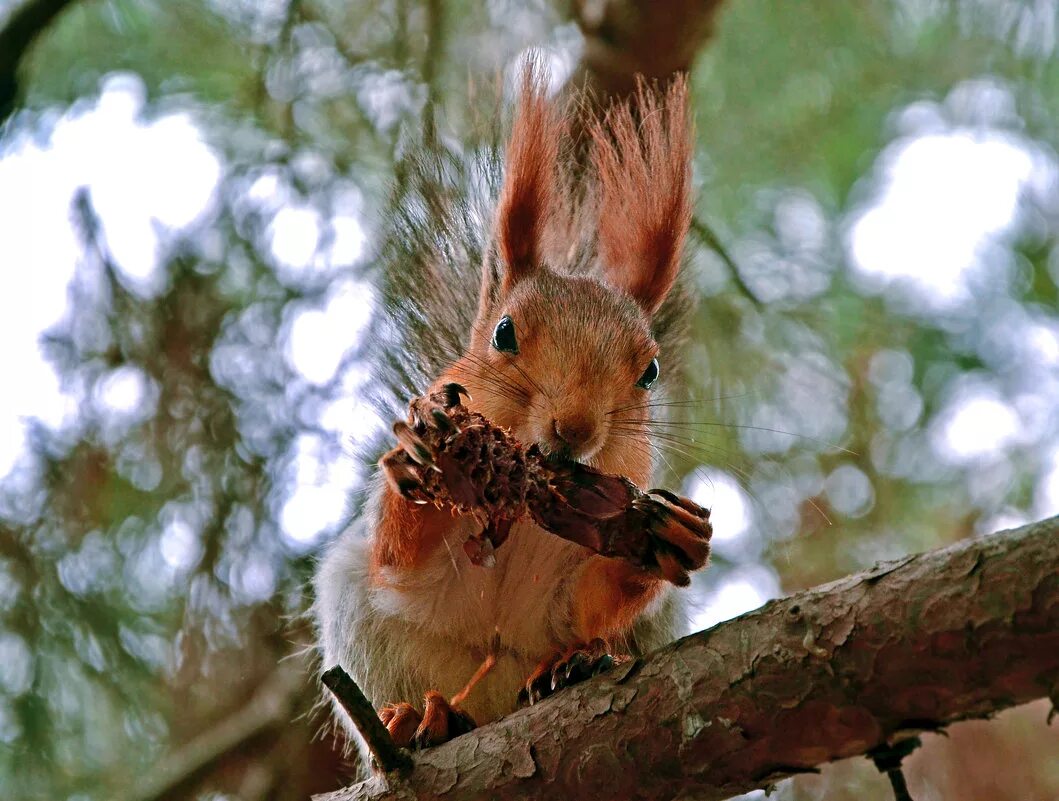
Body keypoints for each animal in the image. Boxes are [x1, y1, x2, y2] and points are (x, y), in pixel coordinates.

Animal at [311, 62, 711, 758]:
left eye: (650, 372)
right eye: (503, 334)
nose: (574, 429)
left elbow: (585, 605)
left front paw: (668, 538)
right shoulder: (402, 565)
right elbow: (399, 557)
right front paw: (420, 460)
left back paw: (576, 666)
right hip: (360, 620)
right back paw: (420, 719)